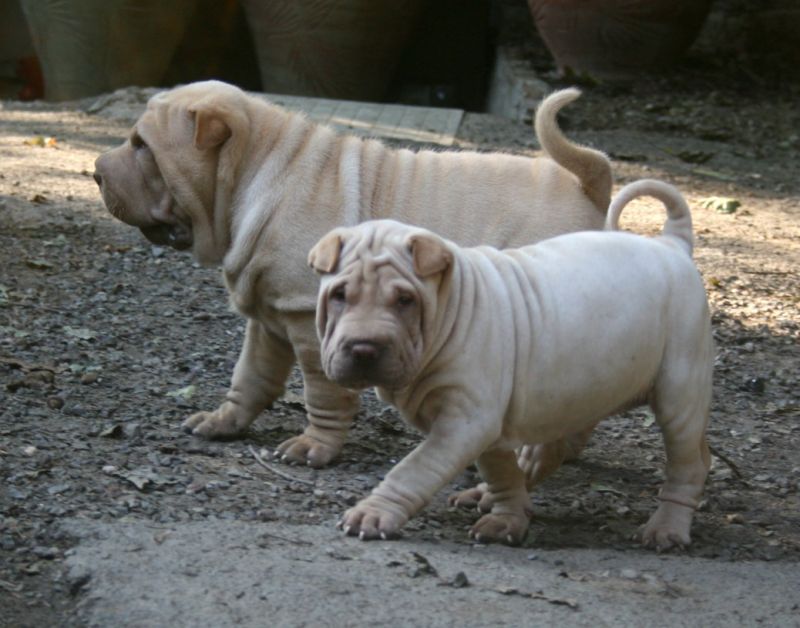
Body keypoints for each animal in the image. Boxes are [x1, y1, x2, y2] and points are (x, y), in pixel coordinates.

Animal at [97, 79, 616, 466]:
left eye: (142, 146)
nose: (98, 170)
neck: (257, 170)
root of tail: (587, 186)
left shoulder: (312, 323)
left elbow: (323, 393)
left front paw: (314, 447)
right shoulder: (268, 319)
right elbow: (250, 376)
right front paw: (223, 421)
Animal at [308, 178, 712, 548]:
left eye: (405, 300)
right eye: (339, 295)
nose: (364, 349)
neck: (451, 311)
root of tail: (671, 244)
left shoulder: (466, 420)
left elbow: (416, 468)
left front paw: (374, 513)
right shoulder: (488, 423)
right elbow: (501, 470)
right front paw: (508, 517)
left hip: (679, 391)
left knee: (689, 462)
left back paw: (667, 528)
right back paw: (485, 493)